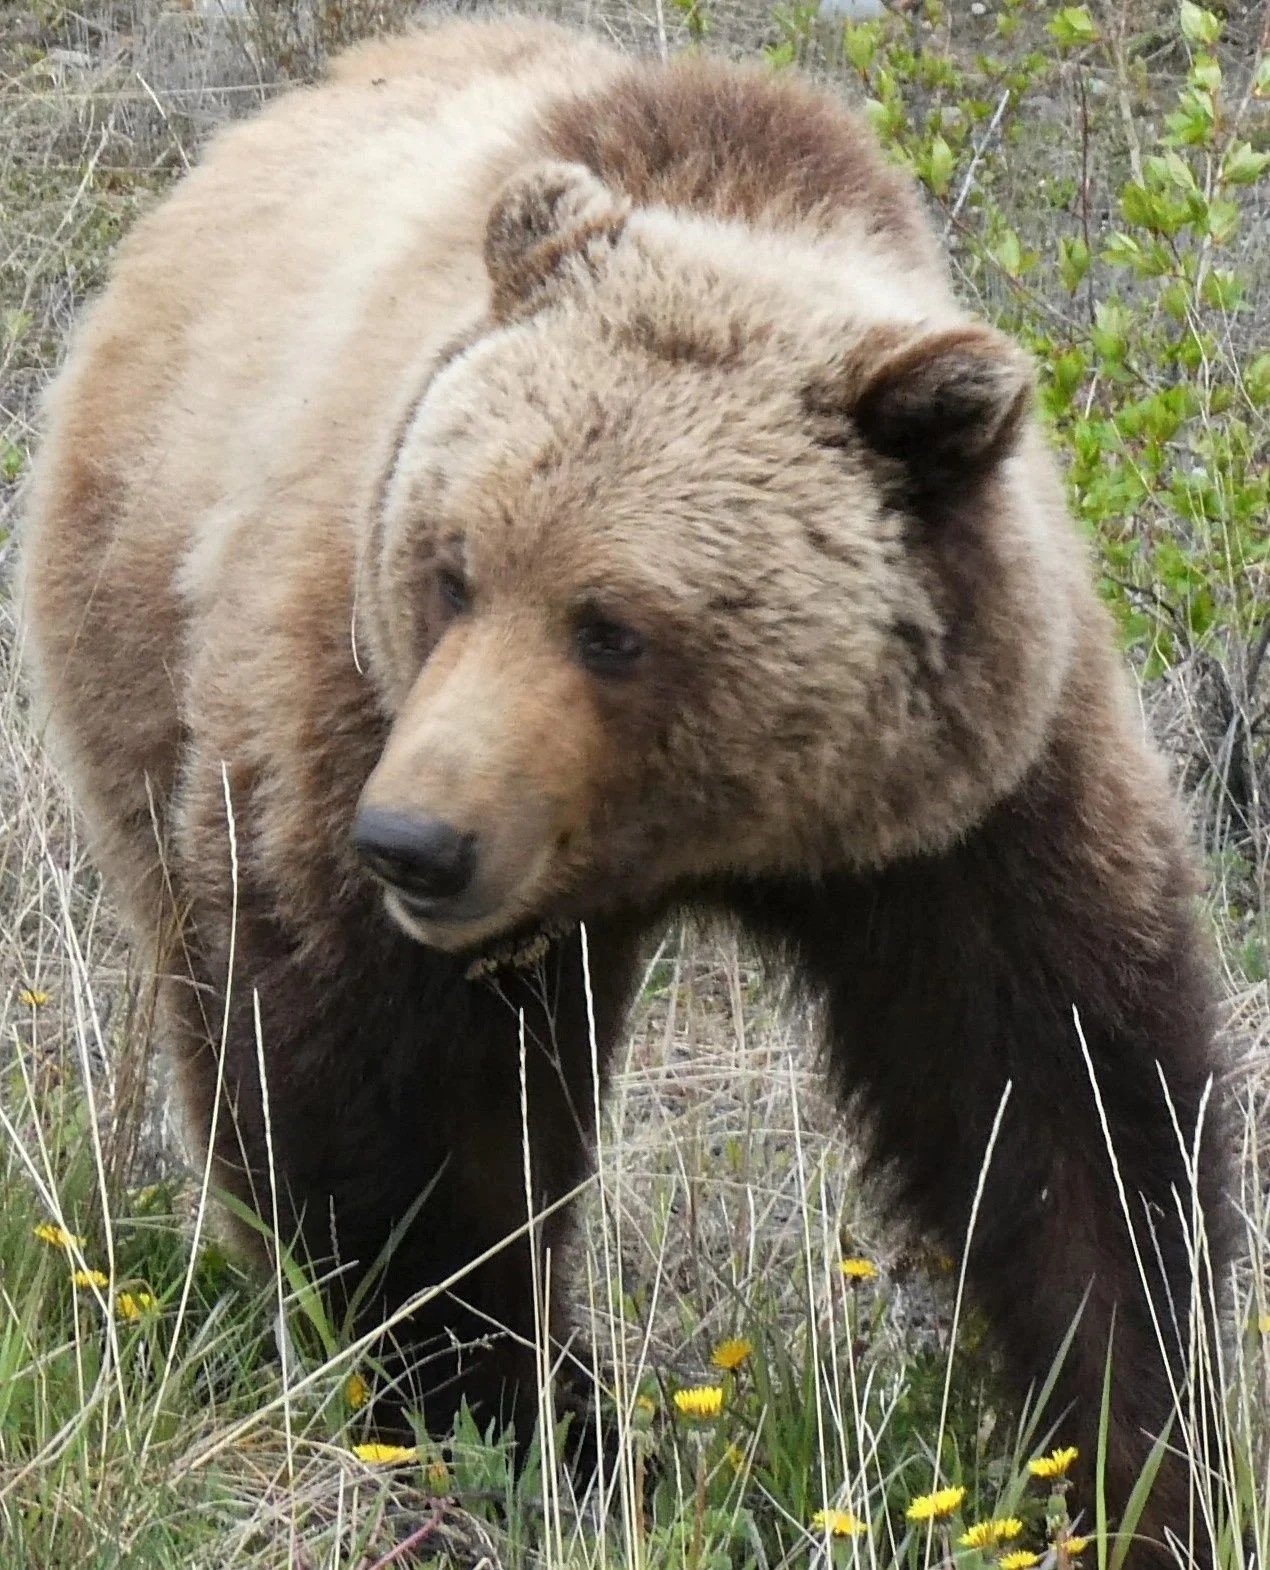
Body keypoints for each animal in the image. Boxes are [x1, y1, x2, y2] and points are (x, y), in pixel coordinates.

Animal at [19, 17, 1229, 1564]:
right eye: (452, 567)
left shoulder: (966, 803)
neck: (708, 835)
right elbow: (402, 1112)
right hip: (136, 644)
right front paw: (518, 1419)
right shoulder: (351, 710)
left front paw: (1145, 1469)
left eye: (613, 626)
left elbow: (1065, 1107)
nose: (412, 842)